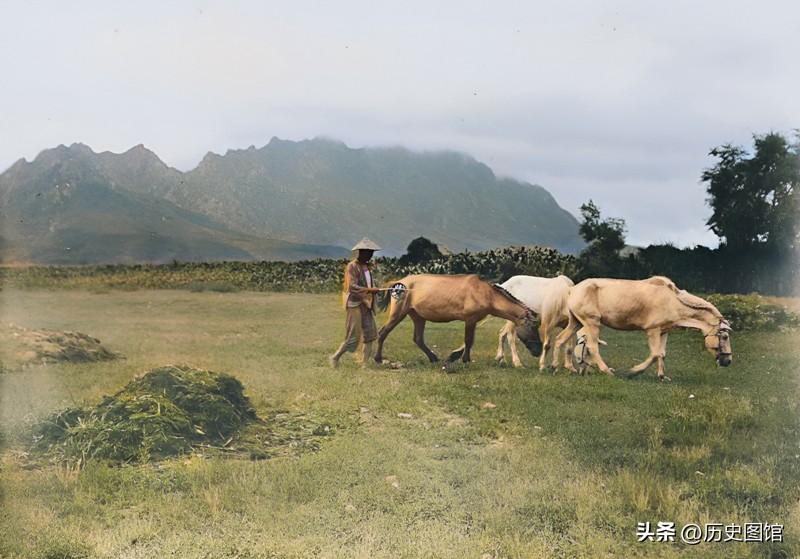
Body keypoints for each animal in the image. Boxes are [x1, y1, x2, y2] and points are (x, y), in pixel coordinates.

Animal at [552, 278, 736, 382]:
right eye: (725, 337)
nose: (727, 361)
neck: (673, 301)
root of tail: (572, 290)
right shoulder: (652, 331)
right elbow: (654, 354)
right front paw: (633, 372)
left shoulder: (663, 331)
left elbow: (662, 354)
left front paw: (662, 377)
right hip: (592, 323)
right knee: (592, 346)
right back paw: (607, 371)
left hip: (576, 322)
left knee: (560, 339)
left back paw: (557, 367)